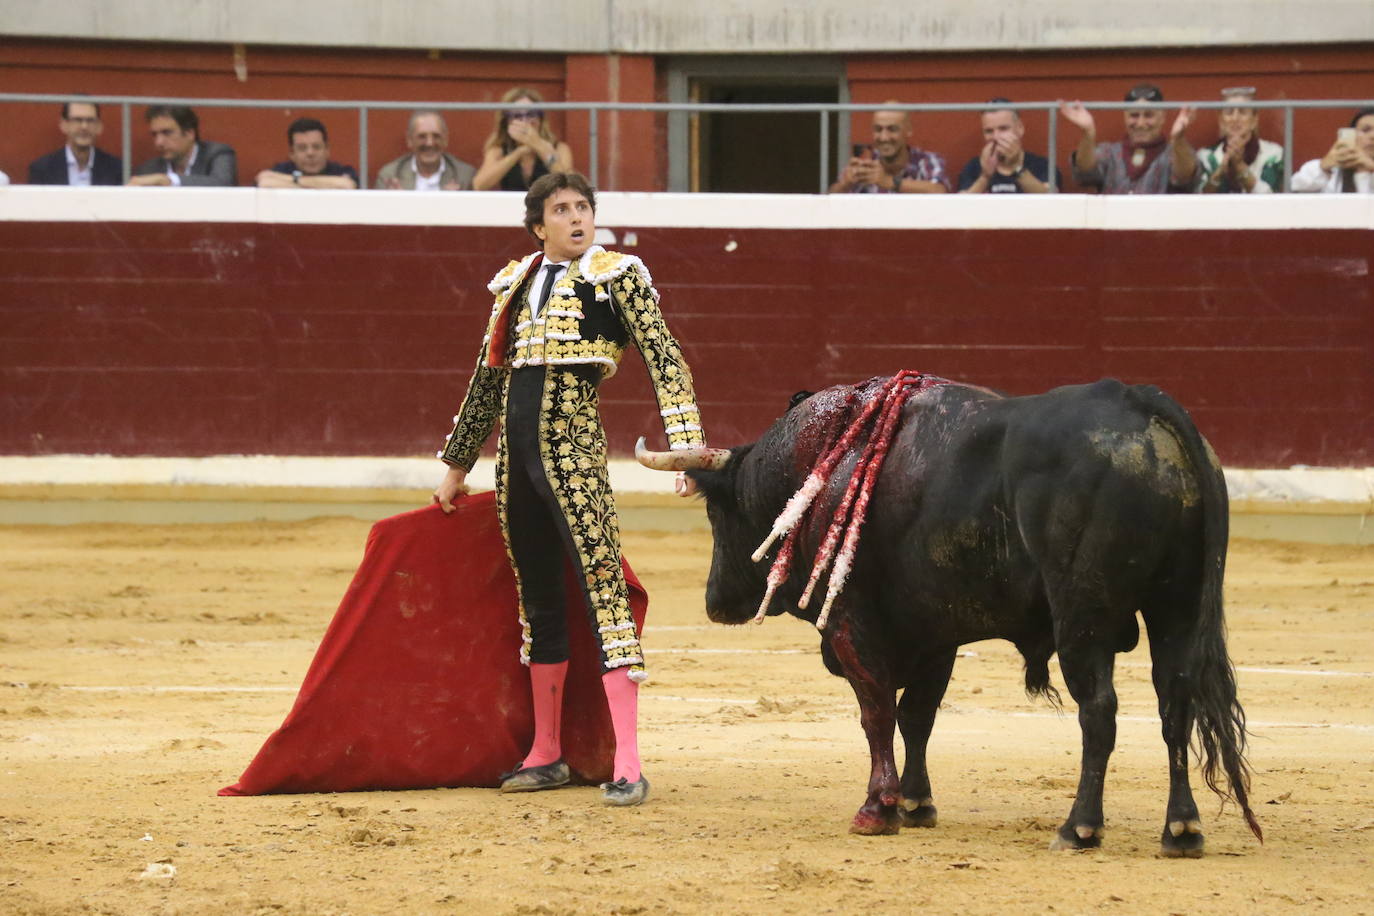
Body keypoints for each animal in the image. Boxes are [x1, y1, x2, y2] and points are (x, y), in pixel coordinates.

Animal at [637, 376, 1258, 856]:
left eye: (716, 512)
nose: (715, 602)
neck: (823, 461)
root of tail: (1138, 403)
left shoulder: (852, 625)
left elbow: (877, 713)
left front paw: (877, 808)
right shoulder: (936, 636)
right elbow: (918, 715)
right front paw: (916, 802)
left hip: (1083, 617)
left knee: (1099, 710)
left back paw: (1079, 827)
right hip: (1176, 607)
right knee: (1175, 703)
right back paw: (1181, 828)